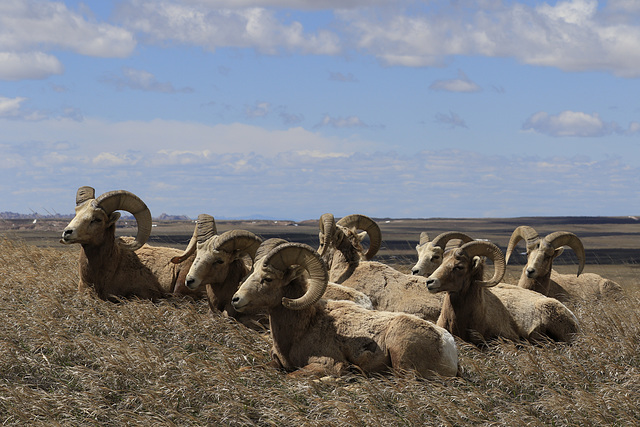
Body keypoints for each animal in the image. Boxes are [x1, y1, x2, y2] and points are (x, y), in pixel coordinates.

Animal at [232, 242, 458, 380]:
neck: (303, 327)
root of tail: (448, 345)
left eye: (267, 279)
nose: (236, 299)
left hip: (401, 358)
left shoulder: (326, 364)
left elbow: (291, 377)